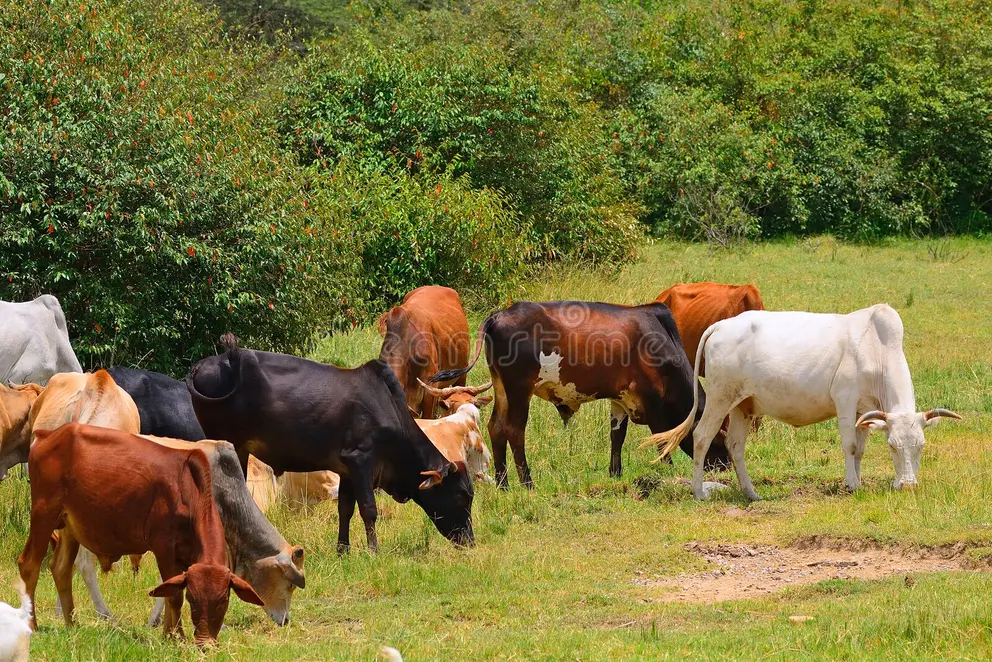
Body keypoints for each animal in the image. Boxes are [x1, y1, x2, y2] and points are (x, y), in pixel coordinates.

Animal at [17, 423, 264, 644]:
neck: (187, 490)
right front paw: (175, 635)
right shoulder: (164, 548)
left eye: (223, 600)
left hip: (69, 526)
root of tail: (48, 434)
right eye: (193, 599)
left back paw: (71, 623)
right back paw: (31, 624)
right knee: (29, 564)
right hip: (43, 514)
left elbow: (171, 591)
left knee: (61, 568)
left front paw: (170, 633)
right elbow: (174, 597)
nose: (205, 643)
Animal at [186, 333, 474, 552]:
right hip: (229, 445)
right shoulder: (361, 459)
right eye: (460, 495)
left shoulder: (346, 468)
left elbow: (345, 509)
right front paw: (374, 551)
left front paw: (343, 550)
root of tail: (215, 361)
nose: (469, 541)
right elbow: (369, 509)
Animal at [428, 300, 726, 488]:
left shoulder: (620, 398)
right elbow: (662, 438)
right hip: (519, 390)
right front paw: (667, 469)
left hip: (502, 388)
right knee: (514, 430)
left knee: (496, 428)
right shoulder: (652, 399)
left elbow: (617, 436)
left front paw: (615, 473)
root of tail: (498, 315)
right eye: (721, 435)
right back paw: (527, 483)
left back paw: (504, 484)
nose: (722, 467)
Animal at [644, 304, 963, 501]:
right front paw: (852, 484)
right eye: (893, 447)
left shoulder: (865, 411)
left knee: (735, 445)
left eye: (920, 446)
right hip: (720, 397)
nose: (908, 485)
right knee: (702, 436)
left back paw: (751, 493)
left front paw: (858, 481)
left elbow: (859, 450)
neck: (877, 347)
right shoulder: (845, 400)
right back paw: (699, 492)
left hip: (742, 405)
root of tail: (721, 326)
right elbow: (849, 446)